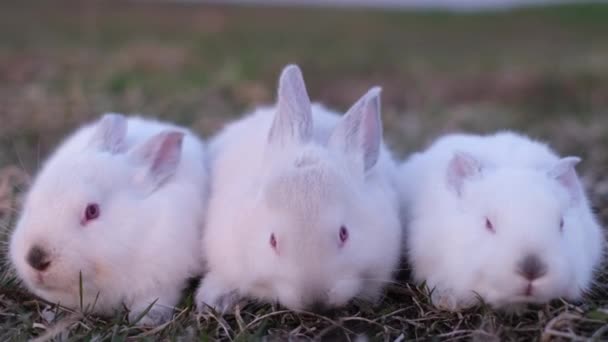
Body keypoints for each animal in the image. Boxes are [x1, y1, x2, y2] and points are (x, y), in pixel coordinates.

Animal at [8, 113, 209, 324]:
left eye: (92, 211)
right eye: (33, 199)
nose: (35, 259)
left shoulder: (164, 280)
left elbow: (156, 299)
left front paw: (146, 319)